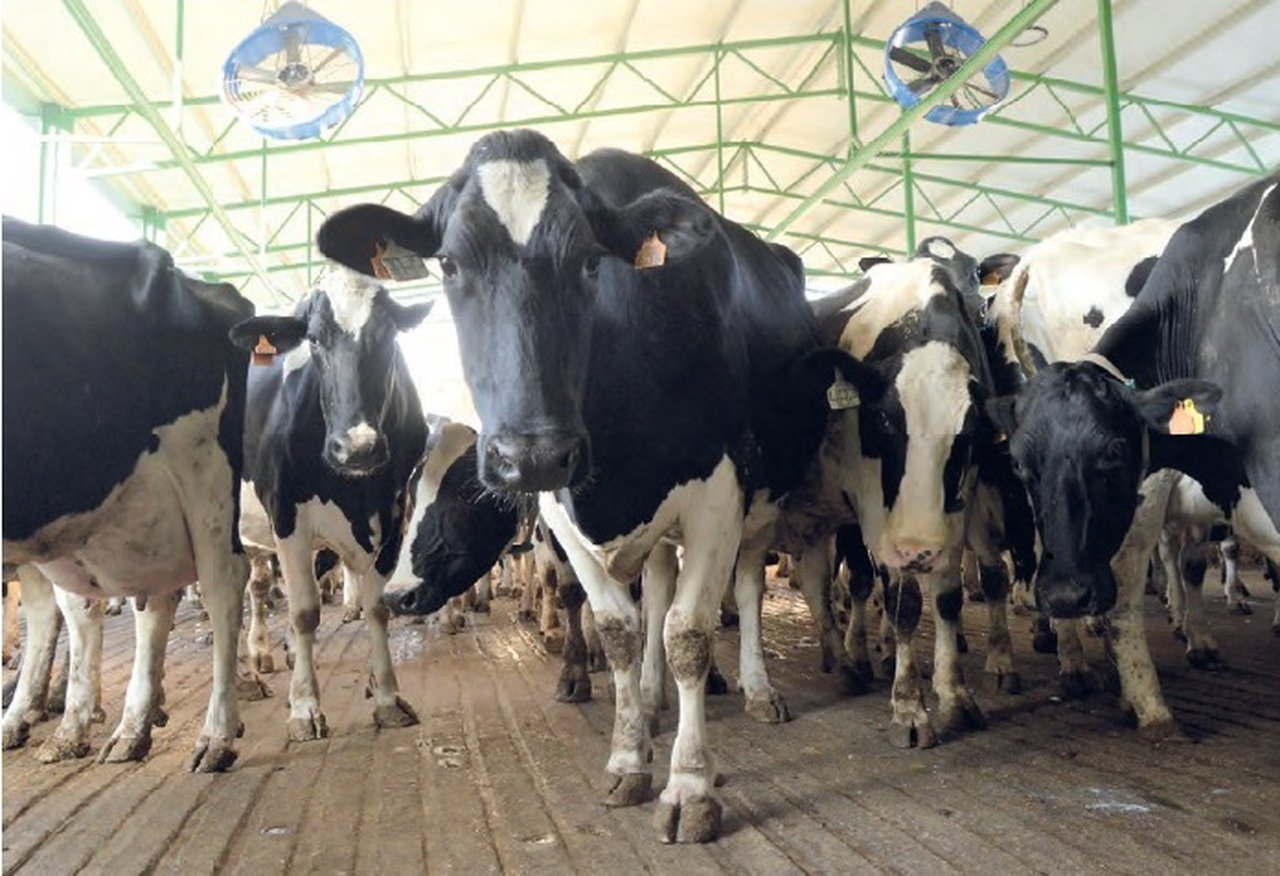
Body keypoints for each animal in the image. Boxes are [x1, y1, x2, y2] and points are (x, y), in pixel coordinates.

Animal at [230, 266, 431, 740]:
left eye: (388, 333)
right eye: (315, 339)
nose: (357, 447)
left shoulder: (395, 512)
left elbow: (377, 606)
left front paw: (387, 696)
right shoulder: (286, 515)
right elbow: (304, 611)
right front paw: (305, 707)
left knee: (259, 586)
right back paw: (250, 672)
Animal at [316, 129, 852, 843]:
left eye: (591, 260)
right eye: (449, 264)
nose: (532, 453)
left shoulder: (719, 491)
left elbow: (689, 632)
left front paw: (689, 784)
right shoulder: (562, 512)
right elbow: (620, 627)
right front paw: (628, 756)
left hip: (762, 502)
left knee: (741, 588)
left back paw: (758, 689)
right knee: (658, 585)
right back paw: (651, 699)